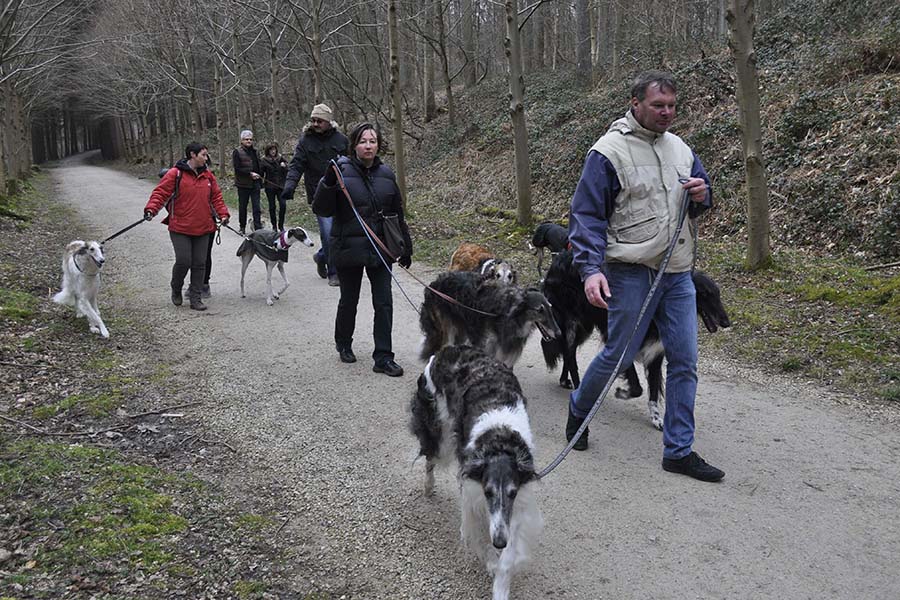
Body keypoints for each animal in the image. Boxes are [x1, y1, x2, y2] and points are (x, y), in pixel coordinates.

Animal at [410, 345, 543, 600]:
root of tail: (446, 350)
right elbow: (476, 535)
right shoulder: (474, 492)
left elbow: (507, 558)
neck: (499, 440)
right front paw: (490, 561)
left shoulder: (516, 503)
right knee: (430, 457)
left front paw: (500, 584)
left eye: (511, 493)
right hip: (440, 432)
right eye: (488, 492)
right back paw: (428, 486)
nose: (499, 542)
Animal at [419, 271, 561, 367]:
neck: (508, 314)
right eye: (539, 310)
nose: (559, 333)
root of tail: (433, 284)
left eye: (550, 307)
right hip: (448, 329)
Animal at [540, 249, 731, 429]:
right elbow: (637, 388)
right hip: (572, 321)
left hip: (584, 326)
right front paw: (623, 393)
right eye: (705, 294)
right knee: (569, 352)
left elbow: (653, 391)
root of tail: (558, 258)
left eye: (718, 294)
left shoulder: (655, 354)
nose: (726, 322)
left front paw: (656, 419)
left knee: (568, 351)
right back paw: (578, 388)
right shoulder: (623, 347)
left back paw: (566, 380)